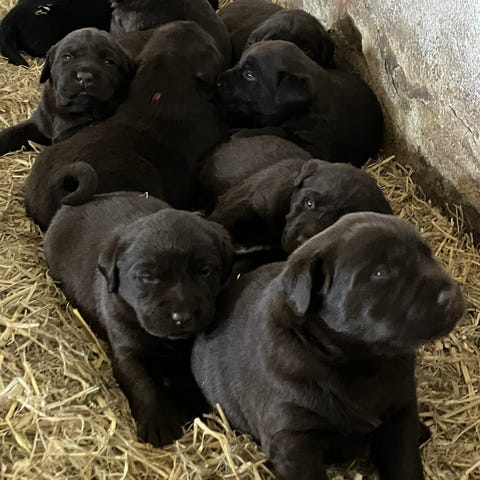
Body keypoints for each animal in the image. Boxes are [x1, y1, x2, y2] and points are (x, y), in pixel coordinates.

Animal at [44, 191, 234, 447]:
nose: (181, 317)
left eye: (205, 271)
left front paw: (189, 402)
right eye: (146, 277)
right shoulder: (127, 352)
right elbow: (142, 384)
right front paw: (158, 424)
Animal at [192, 212, 465, 480]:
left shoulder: (401, 409)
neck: (361, 363)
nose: (452, 294)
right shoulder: (292, 440)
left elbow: (405, 463)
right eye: (381, 273)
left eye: (427, 254)